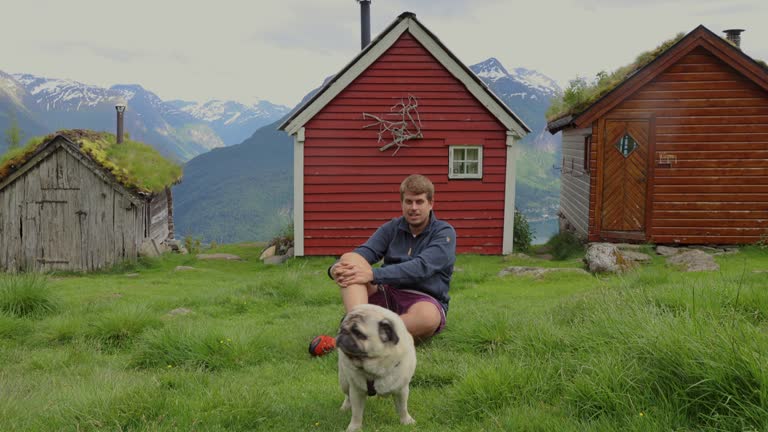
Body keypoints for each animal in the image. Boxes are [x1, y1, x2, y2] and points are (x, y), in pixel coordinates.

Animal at [338, 304, 416, 432]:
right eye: (341, 328)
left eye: (358, 333)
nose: (343, 332)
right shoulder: (356, 391)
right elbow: (356, 413)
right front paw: (354, 427)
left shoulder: (402, 390)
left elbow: (403, 408)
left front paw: (406, 421)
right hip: (344, 381)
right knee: (347, 395)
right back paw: (345, 407)